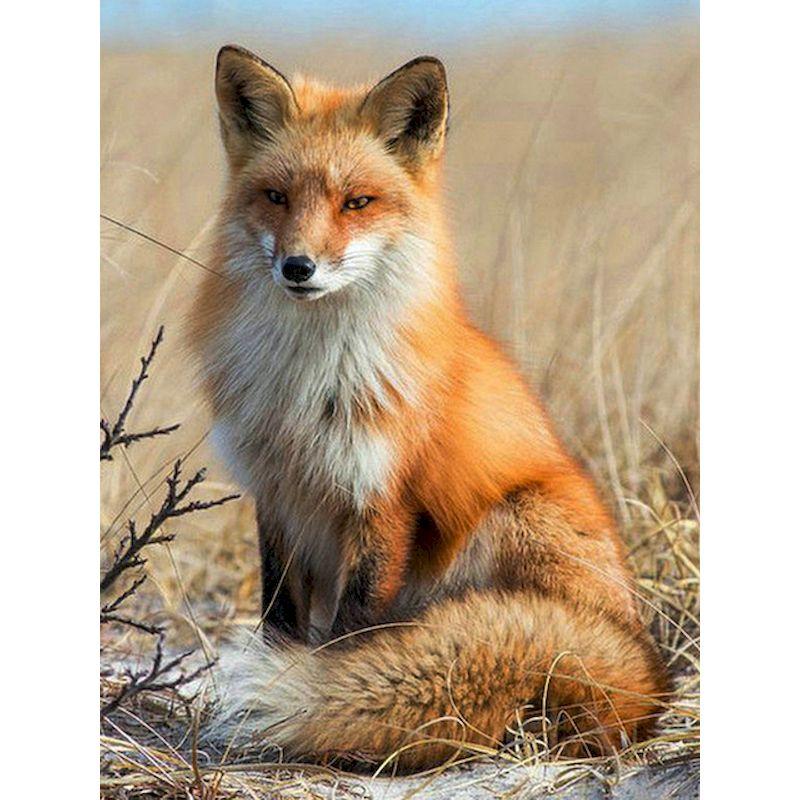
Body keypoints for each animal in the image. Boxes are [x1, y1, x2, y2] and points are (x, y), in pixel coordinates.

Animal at [190, 44, 670, 770]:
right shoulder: (277, 492)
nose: (298, 267)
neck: (310, 384)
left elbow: (350, 634)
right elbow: (278, 616)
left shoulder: (383, 497)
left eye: (357, 202)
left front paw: (322, 695)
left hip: (509, 517)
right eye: (276, 197)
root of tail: (646, 675)